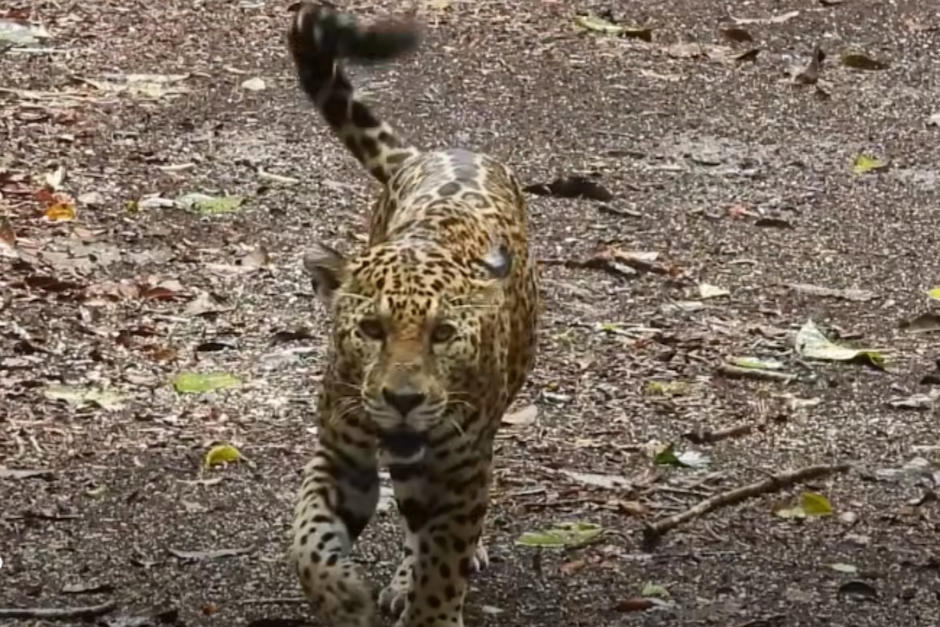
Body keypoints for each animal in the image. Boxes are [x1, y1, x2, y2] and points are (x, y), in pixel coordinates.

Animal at [284, 2, 540, 627]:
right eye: (371, 330)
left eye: (442, 334)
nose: (403, 400)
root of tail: (436, 153)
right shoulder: (341, 456)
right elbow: (308, 535)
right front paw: (341, 596)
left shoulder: (461, 468)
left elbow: (443, 560)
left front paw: (431, 611)